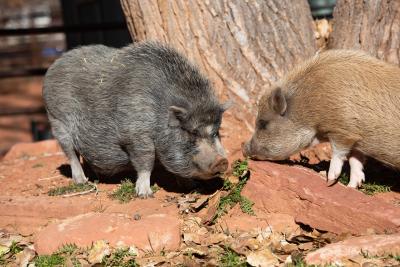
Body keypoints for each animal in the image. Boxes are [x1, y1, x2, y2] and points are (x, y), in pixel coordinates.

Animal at [43, 41, 228, 197]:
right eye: (191, 132)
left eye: (215, 133)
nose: (222, 161)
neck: (159, 109)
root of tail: (53, 66)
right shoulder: (135, 135)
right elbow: (146, 159)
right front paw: (145, 194)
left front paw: (191, 186)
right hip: (57, 121)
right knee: (70, 153)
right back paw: (82, 181)